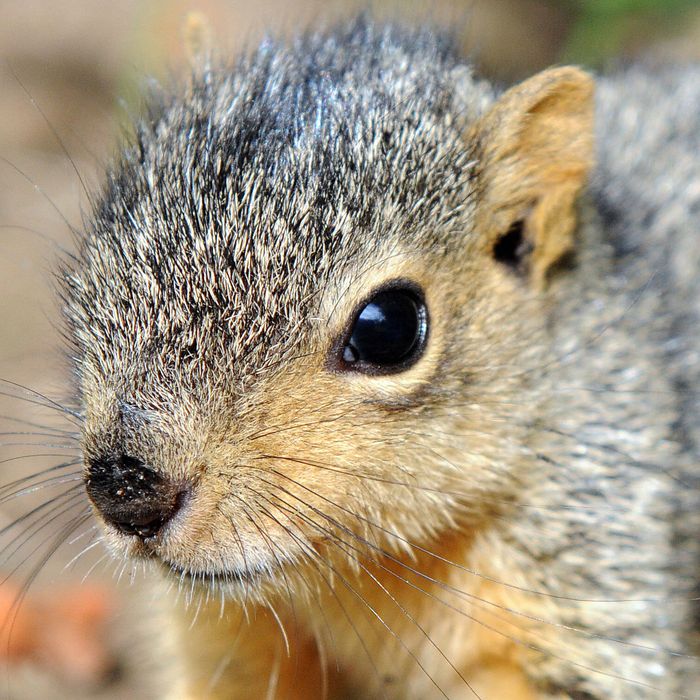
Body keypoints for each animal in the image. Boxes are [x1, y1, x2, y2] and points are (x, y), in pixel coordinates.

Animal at [54, 16, 700, 700]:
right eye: (97, 262)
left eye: (389, 328)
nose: (126, 488)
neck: (364, 576)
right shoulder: (230, 644)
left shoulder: (600, 573)